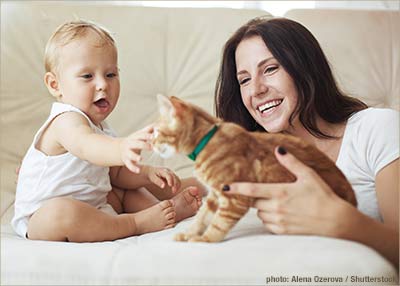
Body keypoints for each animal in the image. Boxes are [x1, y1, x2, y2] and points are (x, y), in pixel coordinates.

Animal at [152, 95, 356, 242]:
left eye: (156, 132)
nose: (151, 143)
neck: (207, 140)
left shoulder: (234, 196)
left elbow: (218, 223)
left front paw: (205, 239)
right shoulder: (214, 196)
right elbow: (202, 217)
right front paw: (189, 233)